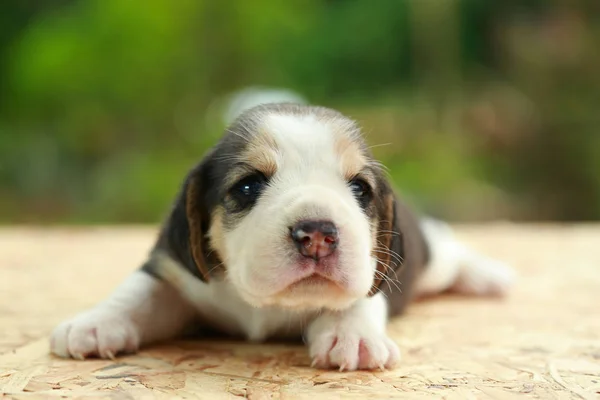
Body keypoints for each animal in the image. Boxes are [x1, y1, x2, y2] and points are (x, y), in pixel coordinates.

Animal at [49, 104, 512, 372]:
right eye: (248, 186)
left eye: (360, 189)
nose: (318, 235)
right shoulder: (173, 270)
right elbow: (139, 292)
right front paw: (94, 323)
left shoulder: (373, 271)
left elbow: (360, 297)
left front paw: (353, 335)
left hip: (434, 258)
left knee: (450, 247)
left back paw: (490, 276)